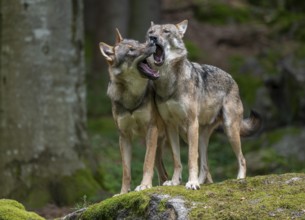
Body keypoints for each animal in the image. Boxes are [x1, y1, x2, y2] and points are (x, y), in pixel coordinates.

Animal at [99, 29, 167, 194]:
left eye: (139, 43)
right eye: (131, 50)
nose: (152, 41)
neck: (132, 98)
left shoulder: (151, 130)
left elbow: (146, 163)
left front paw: (145, 185)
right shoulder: (124, 136)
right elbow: (126, 171)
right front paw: (123, 193)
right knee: (164, 174)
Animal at [141, 19, 260, 190]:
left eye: (166, 31)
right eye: (150, 32)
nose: (152, 38)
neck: (169, 82)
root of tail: (232, 79)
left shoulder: (191, 123)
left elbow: (191, 158)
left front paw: (192, 183)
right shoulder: (170, 126)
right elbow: (177, 160)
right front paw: (175, 181)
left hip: (228, 130)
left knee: (242, 159)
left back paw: (239, 179)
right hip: (196, 136)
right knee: (205, 165)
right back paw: (202, 180)